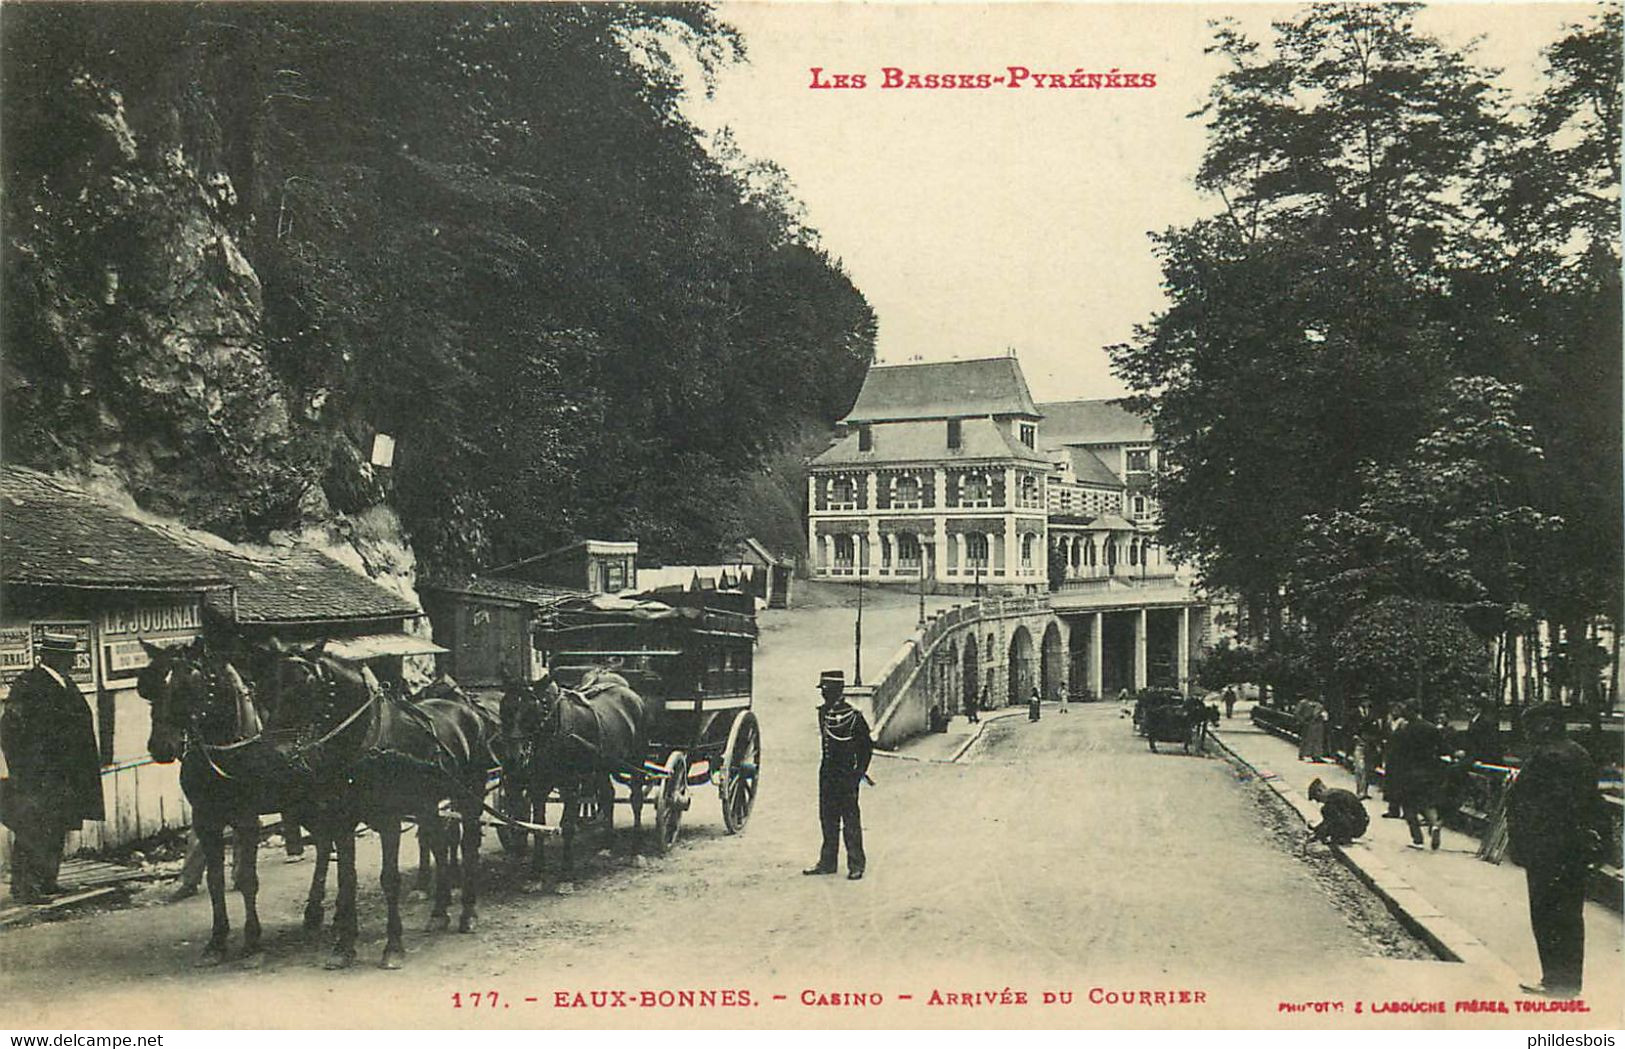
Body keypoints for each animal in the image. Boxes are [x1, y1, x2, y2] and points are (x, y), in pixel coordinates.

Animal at [138, 636, 321, 967]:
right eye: (149, 686)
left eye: (190, 683)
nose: (161, 746)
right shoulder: (205, 819)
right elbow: (215, 881)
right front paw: (217, 941)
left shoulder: (247, 820)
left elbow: (248, 879)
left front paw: (252, 941)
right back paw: (314, 912)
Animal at [273, 652, 494, 974]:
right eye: (275, 685)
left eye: (308, 687)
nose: (279, 753)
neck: (366, 744)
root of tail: (468, 710)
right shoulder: (343, 822)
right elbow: (347, 880)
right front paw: (343, 947)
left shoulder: (390, 821)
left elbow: (390, 879)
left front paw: (393, 947)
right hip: (426, 803)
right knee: (439, 845)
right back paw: (439, 912)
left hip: (469, 795)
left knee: (467, 845)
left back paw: (468, 913)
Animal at [497, 669, 650, 889]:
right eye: (504, 708)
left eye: (531, 711)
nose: (513, 758)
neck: (551, 728)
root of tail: (631, 693)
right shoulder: (537, 786)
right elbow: (538, 826)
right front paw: (536, 874)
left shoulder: (571, 785)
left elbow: (568, 826)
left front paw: (566, 877)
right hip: (602, 764)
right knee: (607, 795)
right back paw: (607, 845)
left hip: (637, 760)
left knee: (636, 800)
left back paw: (636, 852)